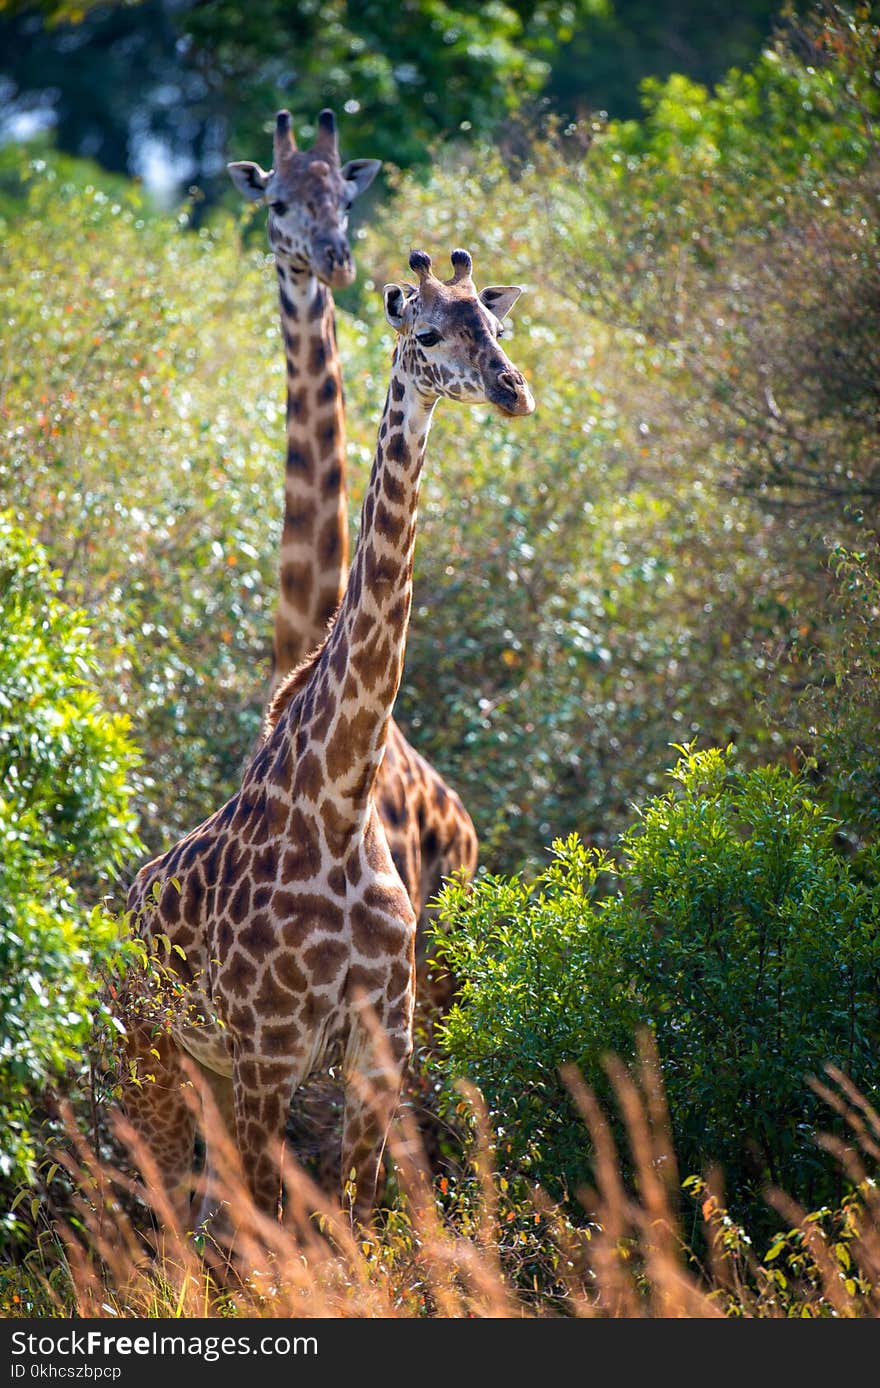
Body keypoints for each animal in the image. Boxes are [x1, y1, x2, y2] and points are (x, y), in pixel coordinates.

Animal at [120, 249, 530, 1226]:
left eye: (497, 328)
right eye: (428, 333)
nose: (512, 388)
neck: (340, 802)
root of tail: (125, 904)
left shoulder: (381, 1043)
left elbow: (360, 1225)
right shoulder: (271, 1050)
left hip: (215, 1068)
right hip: (154, 1048)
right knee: (163, 1215)